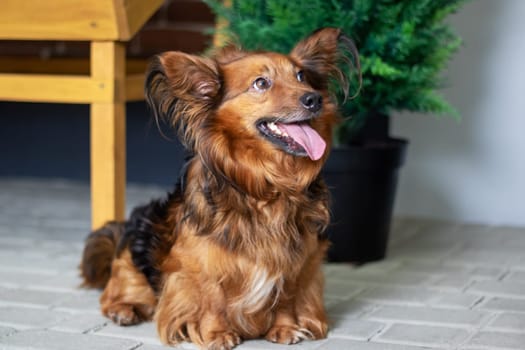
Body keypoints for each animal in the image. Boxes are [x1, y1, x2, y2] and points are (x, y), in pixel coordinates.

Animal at [80, 28, 358, 350]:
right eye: (261, 83)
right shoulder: (200, 260)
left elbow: (287, 295)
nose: (314, 98)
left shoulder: (298, 258)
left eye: (301, 77)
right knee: (118, 290)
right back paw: (124, 309)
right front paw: (216, 334)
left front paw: (285, 328)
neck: (266, 187)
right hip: (136, 248)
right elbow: (212, 297)